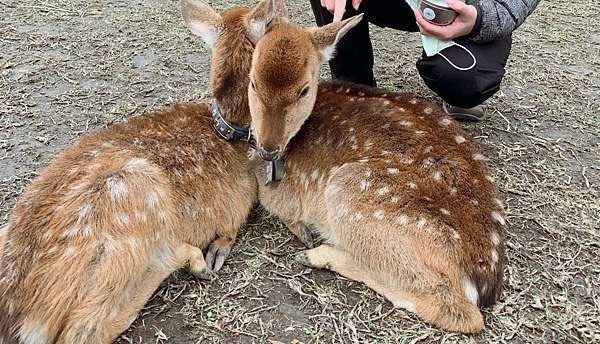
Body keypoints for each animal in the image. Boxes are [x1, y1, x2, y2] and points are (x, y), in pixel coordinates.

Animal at [0, 1, 278, 342]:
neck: (230, 130)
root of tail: (21, 318)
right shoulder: (239, 202)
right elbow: (231, 228)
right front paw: (215, 252)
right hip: (133, 203)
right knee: (84, 329)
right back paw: (190, 261)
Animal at [243, 1, 506, 332]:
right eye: (253, 80)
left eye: (304, 89)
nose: (268, 148)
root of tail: (482, 281)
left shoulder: (283, 192)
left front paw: (302, 231)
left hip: (352, 192)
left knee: (457, 310)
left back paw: (317, 254)